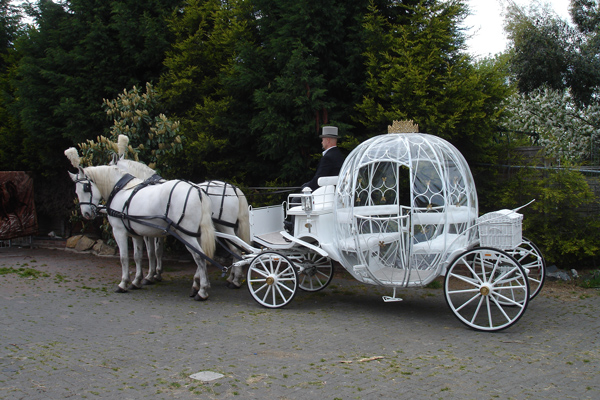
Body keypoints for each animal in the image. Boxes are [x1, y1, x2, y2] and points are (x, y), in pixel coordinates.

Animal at [67, 150, 217, 300]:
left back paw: (202, 290)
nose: (86, 213)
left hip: (186, 235)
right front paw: (138, 280)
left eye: (85, 188)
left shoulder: (121, 232)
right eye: (76, 191)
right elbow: (139, 256)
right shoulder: (137, 233)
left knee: (199, 257)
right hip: (195, 234)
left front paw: (125, 283)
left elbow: (127, 257)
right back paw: (199, 284)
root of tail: (197, 190)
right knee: (202, 256)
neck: (122, 189)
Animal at [112, 135, 251, 288]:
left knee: (235, 250)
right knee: (236, 251)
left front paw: (149, 276)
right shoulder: (158, 230)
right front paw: (157, 274)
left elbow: (151, 253)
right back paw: (231, 277)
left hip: (225, 227)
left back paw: (233, 280)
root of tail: (234, 189)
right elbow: (158, 251)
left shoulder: (147, 230)